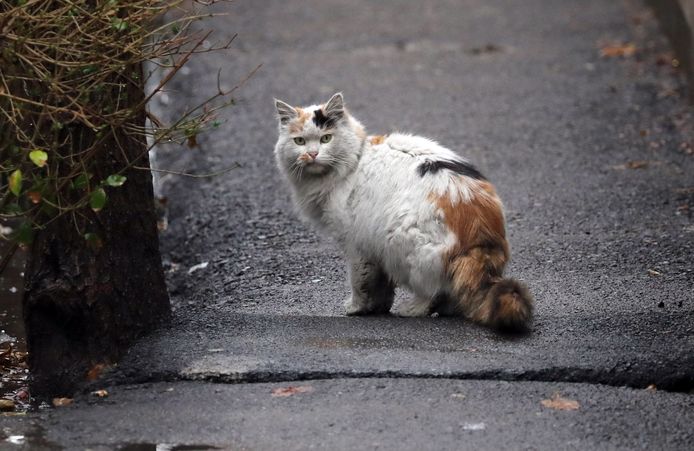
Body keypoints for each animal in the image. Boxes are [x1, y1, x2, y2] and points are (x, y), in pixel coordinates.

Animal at [274, 92, 536, 332]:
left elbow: (359, 281)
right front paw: (378, 307)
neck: (354, 161)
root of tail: (483, 235)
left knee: (434, 291)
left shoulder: (357, 245)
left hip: (402, 240)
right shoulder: (372, 249)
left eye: (326, 138)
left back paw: (412, 309)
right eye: (299, 142)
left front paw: (357, 308)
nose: (312, 154)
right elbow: (380, 285)